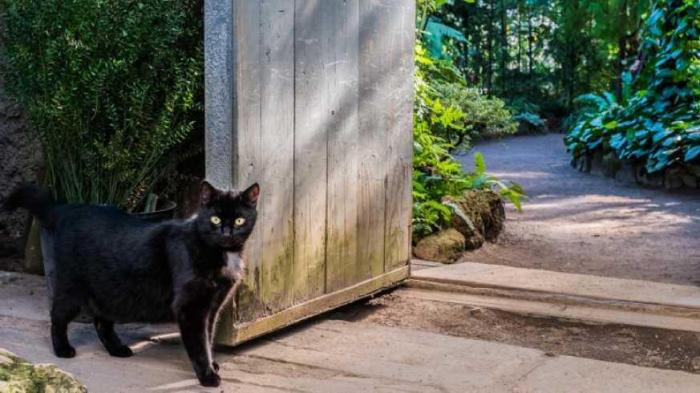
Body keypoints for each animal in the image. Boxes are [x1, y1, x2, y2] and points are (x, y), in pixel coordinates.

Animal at [2, 181, 260, 386]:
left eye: (239, 220)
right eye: (215, 218)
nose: (226, 232)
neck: (221, 253)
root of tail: (67, 208)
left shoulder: (213, 306)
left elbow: (209, 335)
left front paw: (212, 364)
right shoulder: (191, 307)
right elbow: (199, 343)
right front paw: (207, 375)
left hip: (109, 289)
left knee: (101, 321)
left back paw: (117, 349)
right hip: (71, 286)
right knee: (57, 316)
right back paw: (62, 349)